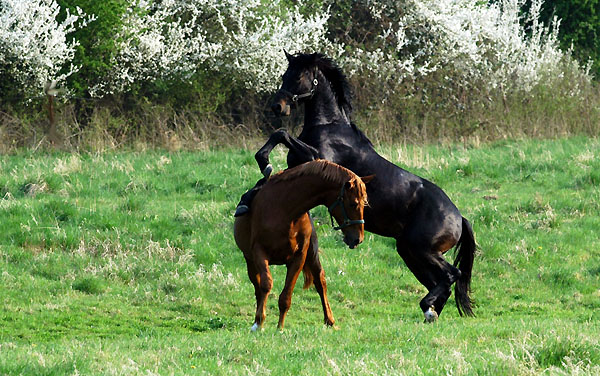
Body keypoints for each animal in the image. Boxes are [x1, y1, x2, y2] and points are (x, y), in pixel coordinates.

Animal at [234, 160, 370, 330]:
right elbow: (266, 284)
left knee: (320, 281)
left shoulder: (299, 257)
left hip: (312, 255)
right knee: (258, 287)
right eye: (353, 204)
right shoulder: (259, 253)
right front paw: (258, 323)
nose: (358, 239)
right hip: (250, 262)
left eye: (365, 204)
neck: (285, 210)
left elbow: (286, 295)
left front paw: (280, 328)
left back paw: (329, 320)